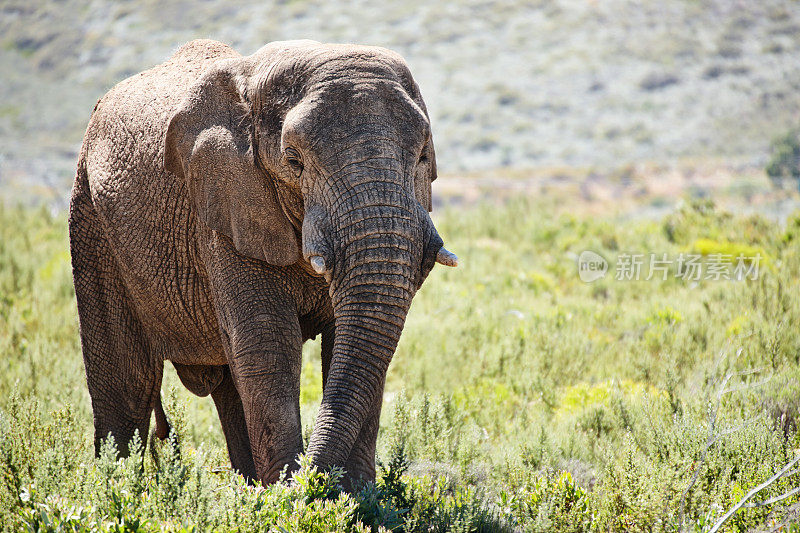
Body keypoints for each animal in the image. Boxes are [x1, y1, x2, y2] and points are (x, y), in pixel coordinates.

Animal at [67, 38, 456, 486]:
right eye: (293, 160)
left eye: (423, 157)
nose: (311, 478)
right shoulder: (224, 211)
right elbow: (270, 340)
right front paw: (291, 495)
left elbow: (352, 343)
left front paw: (352, 496)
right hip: (91, 216)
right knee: (127, 384)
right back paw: (116, 488)